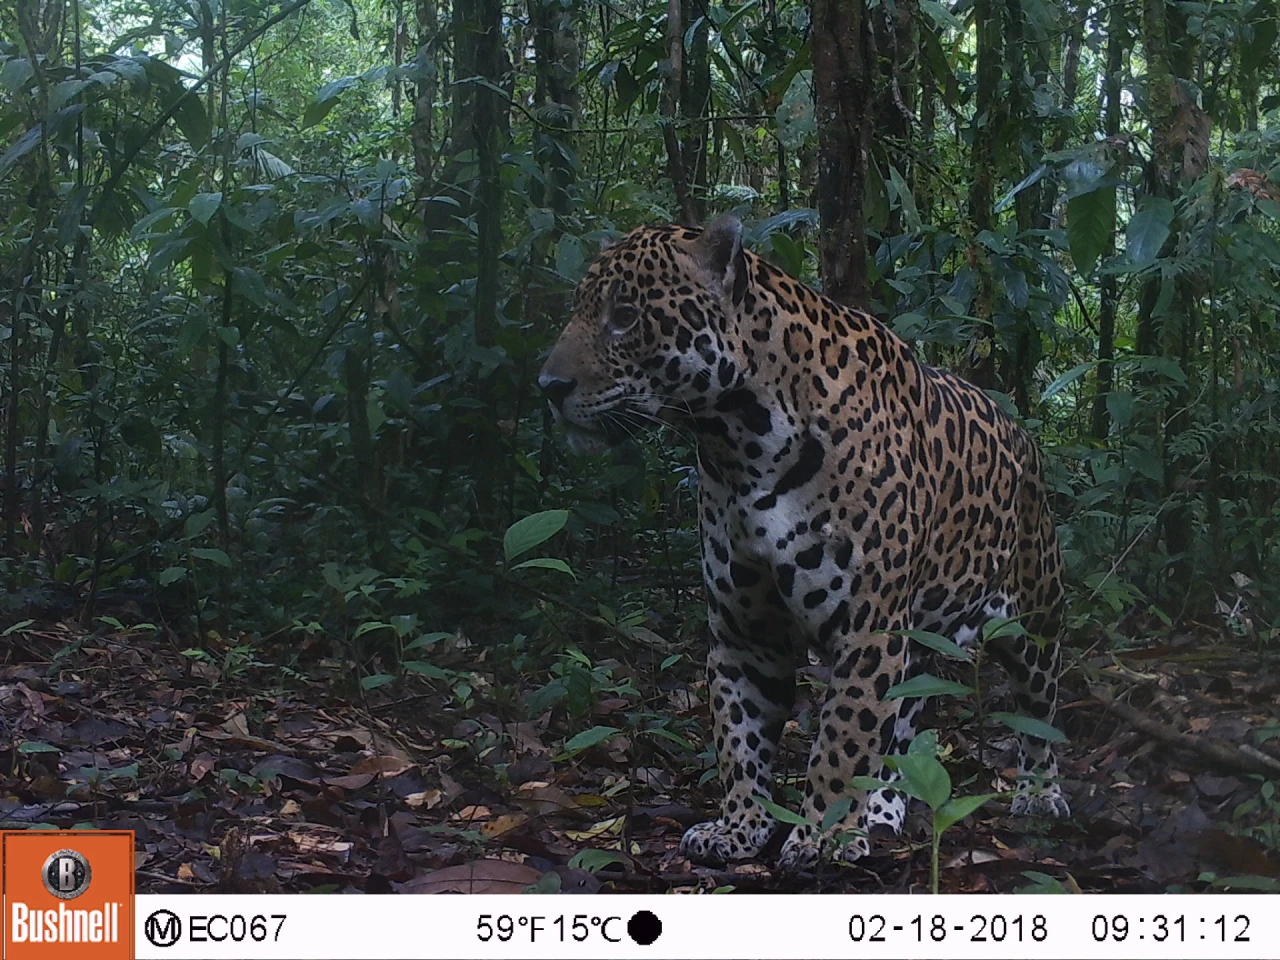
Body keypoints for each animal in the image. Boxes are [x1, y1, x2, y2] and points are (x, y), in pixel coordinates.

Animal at [538, 214, 1070, 869]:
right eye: (582, 309)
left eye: (625, 314)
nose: (549, 386)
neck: (740, 443)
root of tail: (1020, 432)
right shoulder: (745, 633)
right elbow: (740, 740)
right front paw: (739, 828)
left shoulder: (867, 631)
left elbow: (841, 739)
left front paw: (820, 836)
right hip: (917, 640)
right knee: (902, 723)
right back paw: (884, 811)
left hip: (1034, 618)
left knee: (1038, 711)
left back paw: (1039, 796)